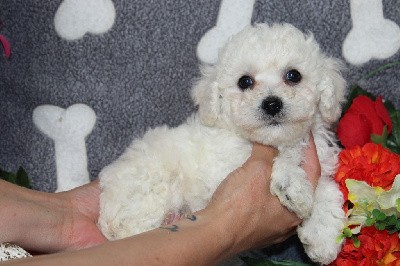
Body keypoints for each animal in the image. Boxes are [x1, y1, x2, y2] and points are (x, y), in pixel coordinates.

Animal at [98, 23, 346, 264]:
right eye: (245, 82)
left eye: (294, 75)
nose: (272, 104)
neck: (275, 141)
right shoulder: (223, 167)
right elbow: (286, 161)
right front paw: (293, 187)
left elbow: (325, 189)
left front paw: (323, 236)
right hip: (150, 187)